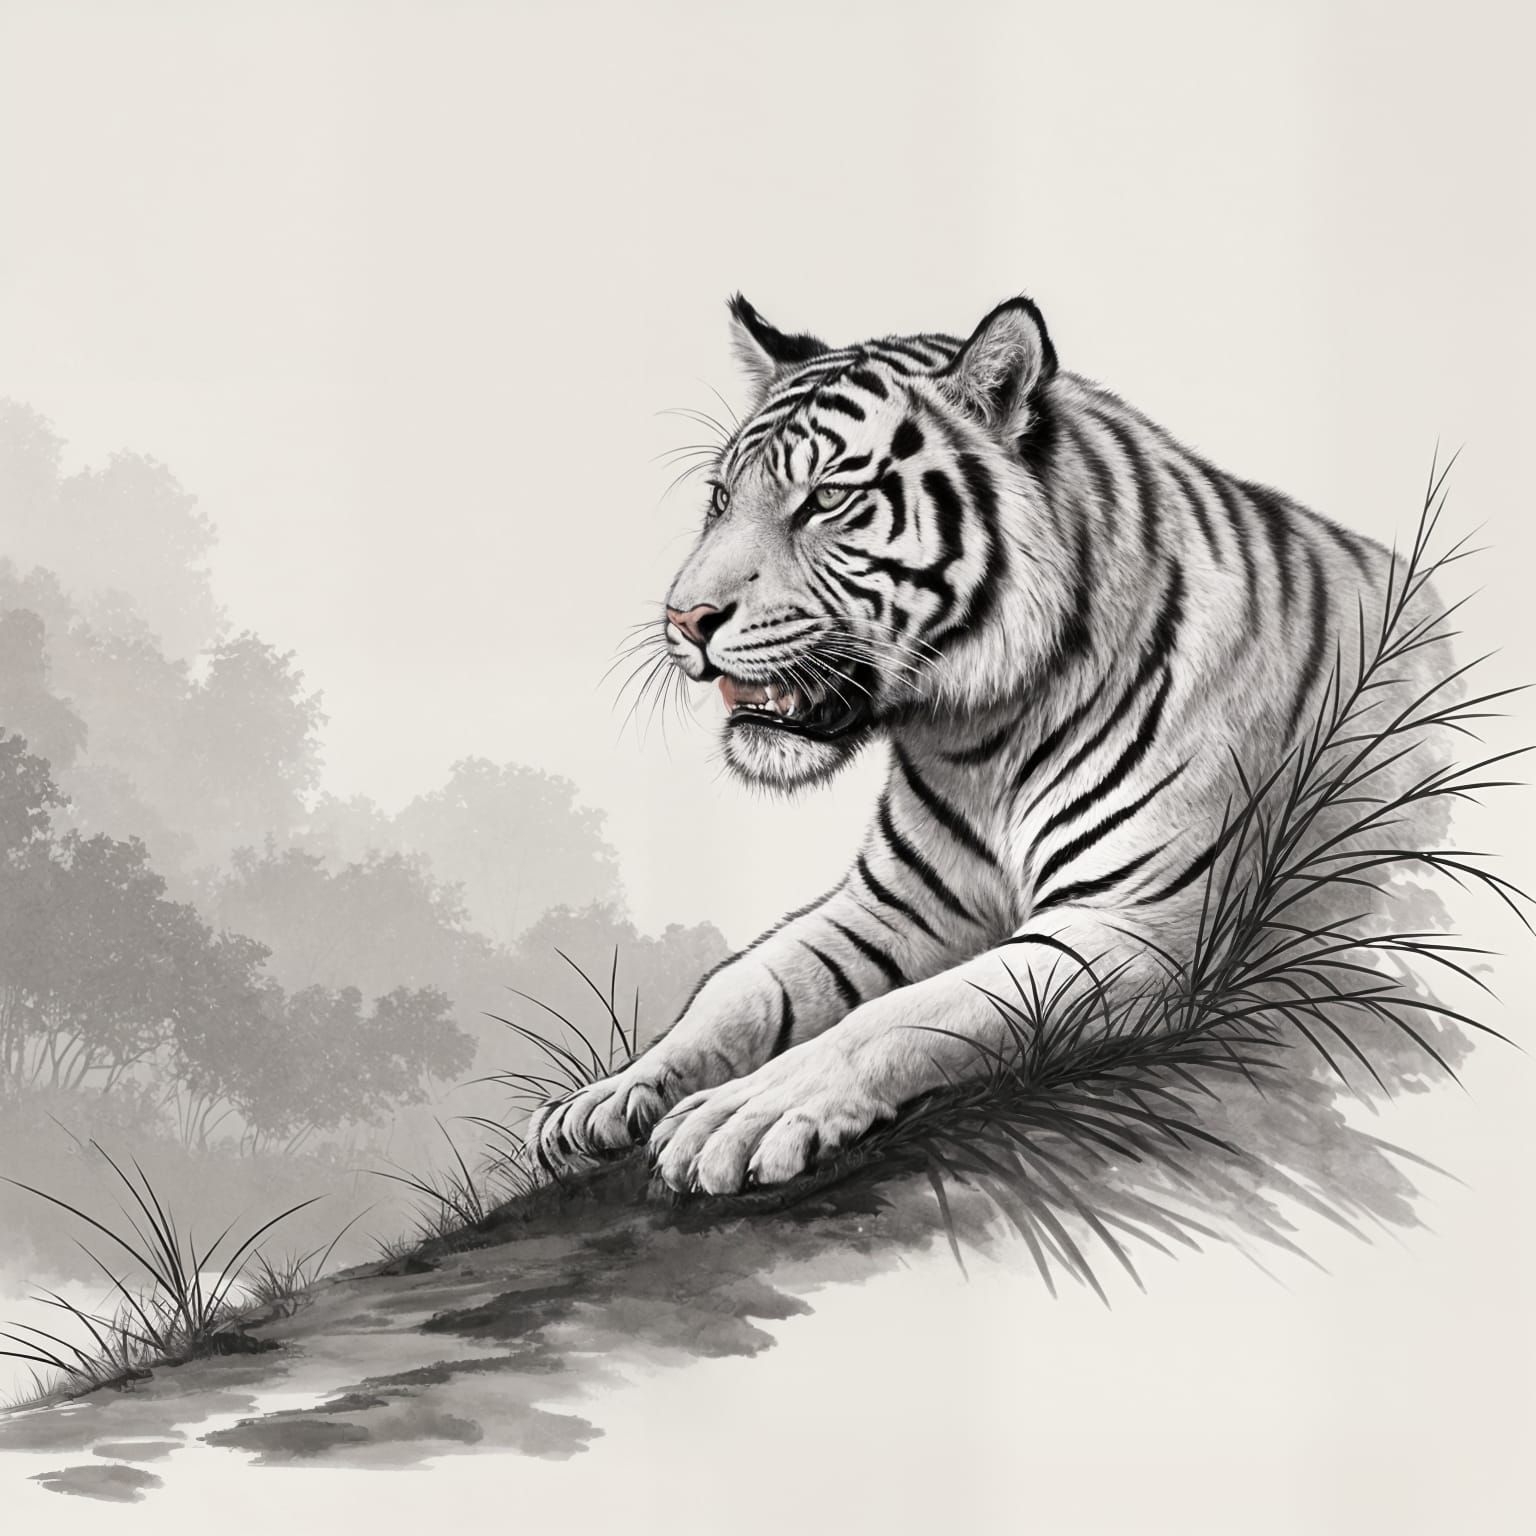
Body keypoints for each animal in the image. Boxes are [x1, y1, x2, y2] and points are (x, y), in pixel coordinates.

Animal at [529, 290, 1394, 1197]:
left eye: (825, 500)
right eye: (722, 498)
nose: (685, 619)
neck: (982, 736)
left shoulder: (1132, 928)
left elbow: (901, 1016)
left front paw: (741, 1114)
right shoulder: (890, 907)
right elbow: (741, 988)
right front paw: (608, 1096)